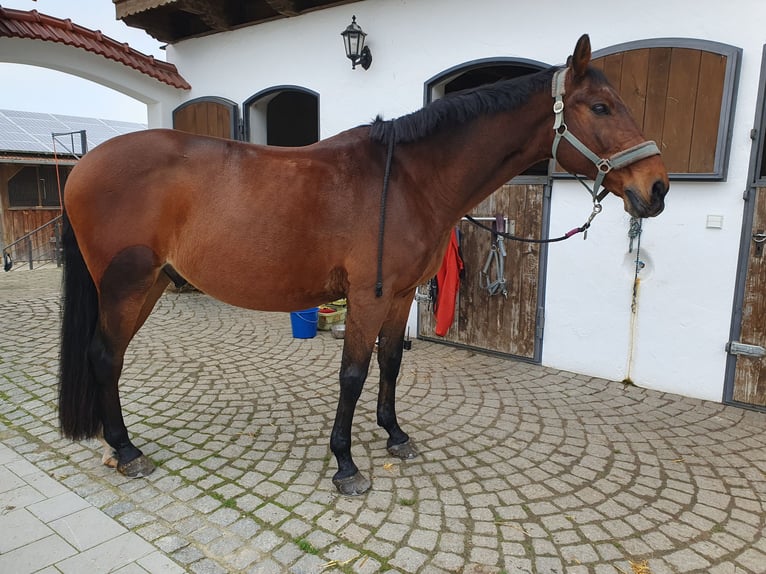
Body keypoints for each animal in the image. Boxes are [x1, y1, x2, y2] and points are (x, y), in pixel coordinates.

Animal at [60, 35, 672, 496]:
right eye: (600, 107)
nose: (658, 187)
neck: (408, 180)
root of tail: (84, 164)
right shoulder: (367, 295)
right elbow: (352, 374)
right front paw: (346, 465)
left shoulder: (399, 296)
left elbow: (390, 364)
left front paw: (395, 435)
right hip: (127, 285)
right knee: (106, 356)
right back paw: (127, 449)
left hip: (151, 285)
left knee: (109, 357)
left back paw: (117, 445)